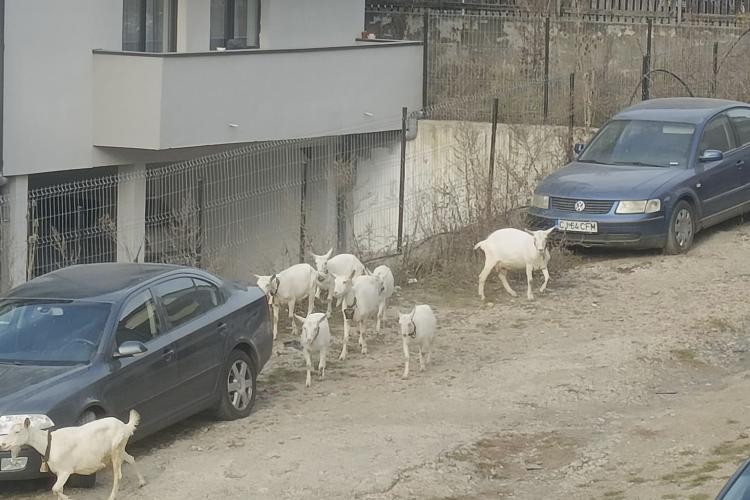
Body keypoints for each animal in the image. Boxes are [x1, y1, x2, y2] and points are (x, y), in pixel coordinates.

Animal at [0, 410, 145, 500]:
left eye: (17, 431)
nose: (3, 444)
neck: (48, 443)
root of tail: (125, 426)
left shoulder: (65, 471)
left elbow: (55, 488)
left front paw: (69, 497)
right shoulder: (59, 473)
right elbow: (58, 490)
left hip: (116, 450)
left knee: (118, 475)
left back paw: (112, 496)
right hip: (118, 449)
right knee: (131, 459)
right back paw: (142, 482)